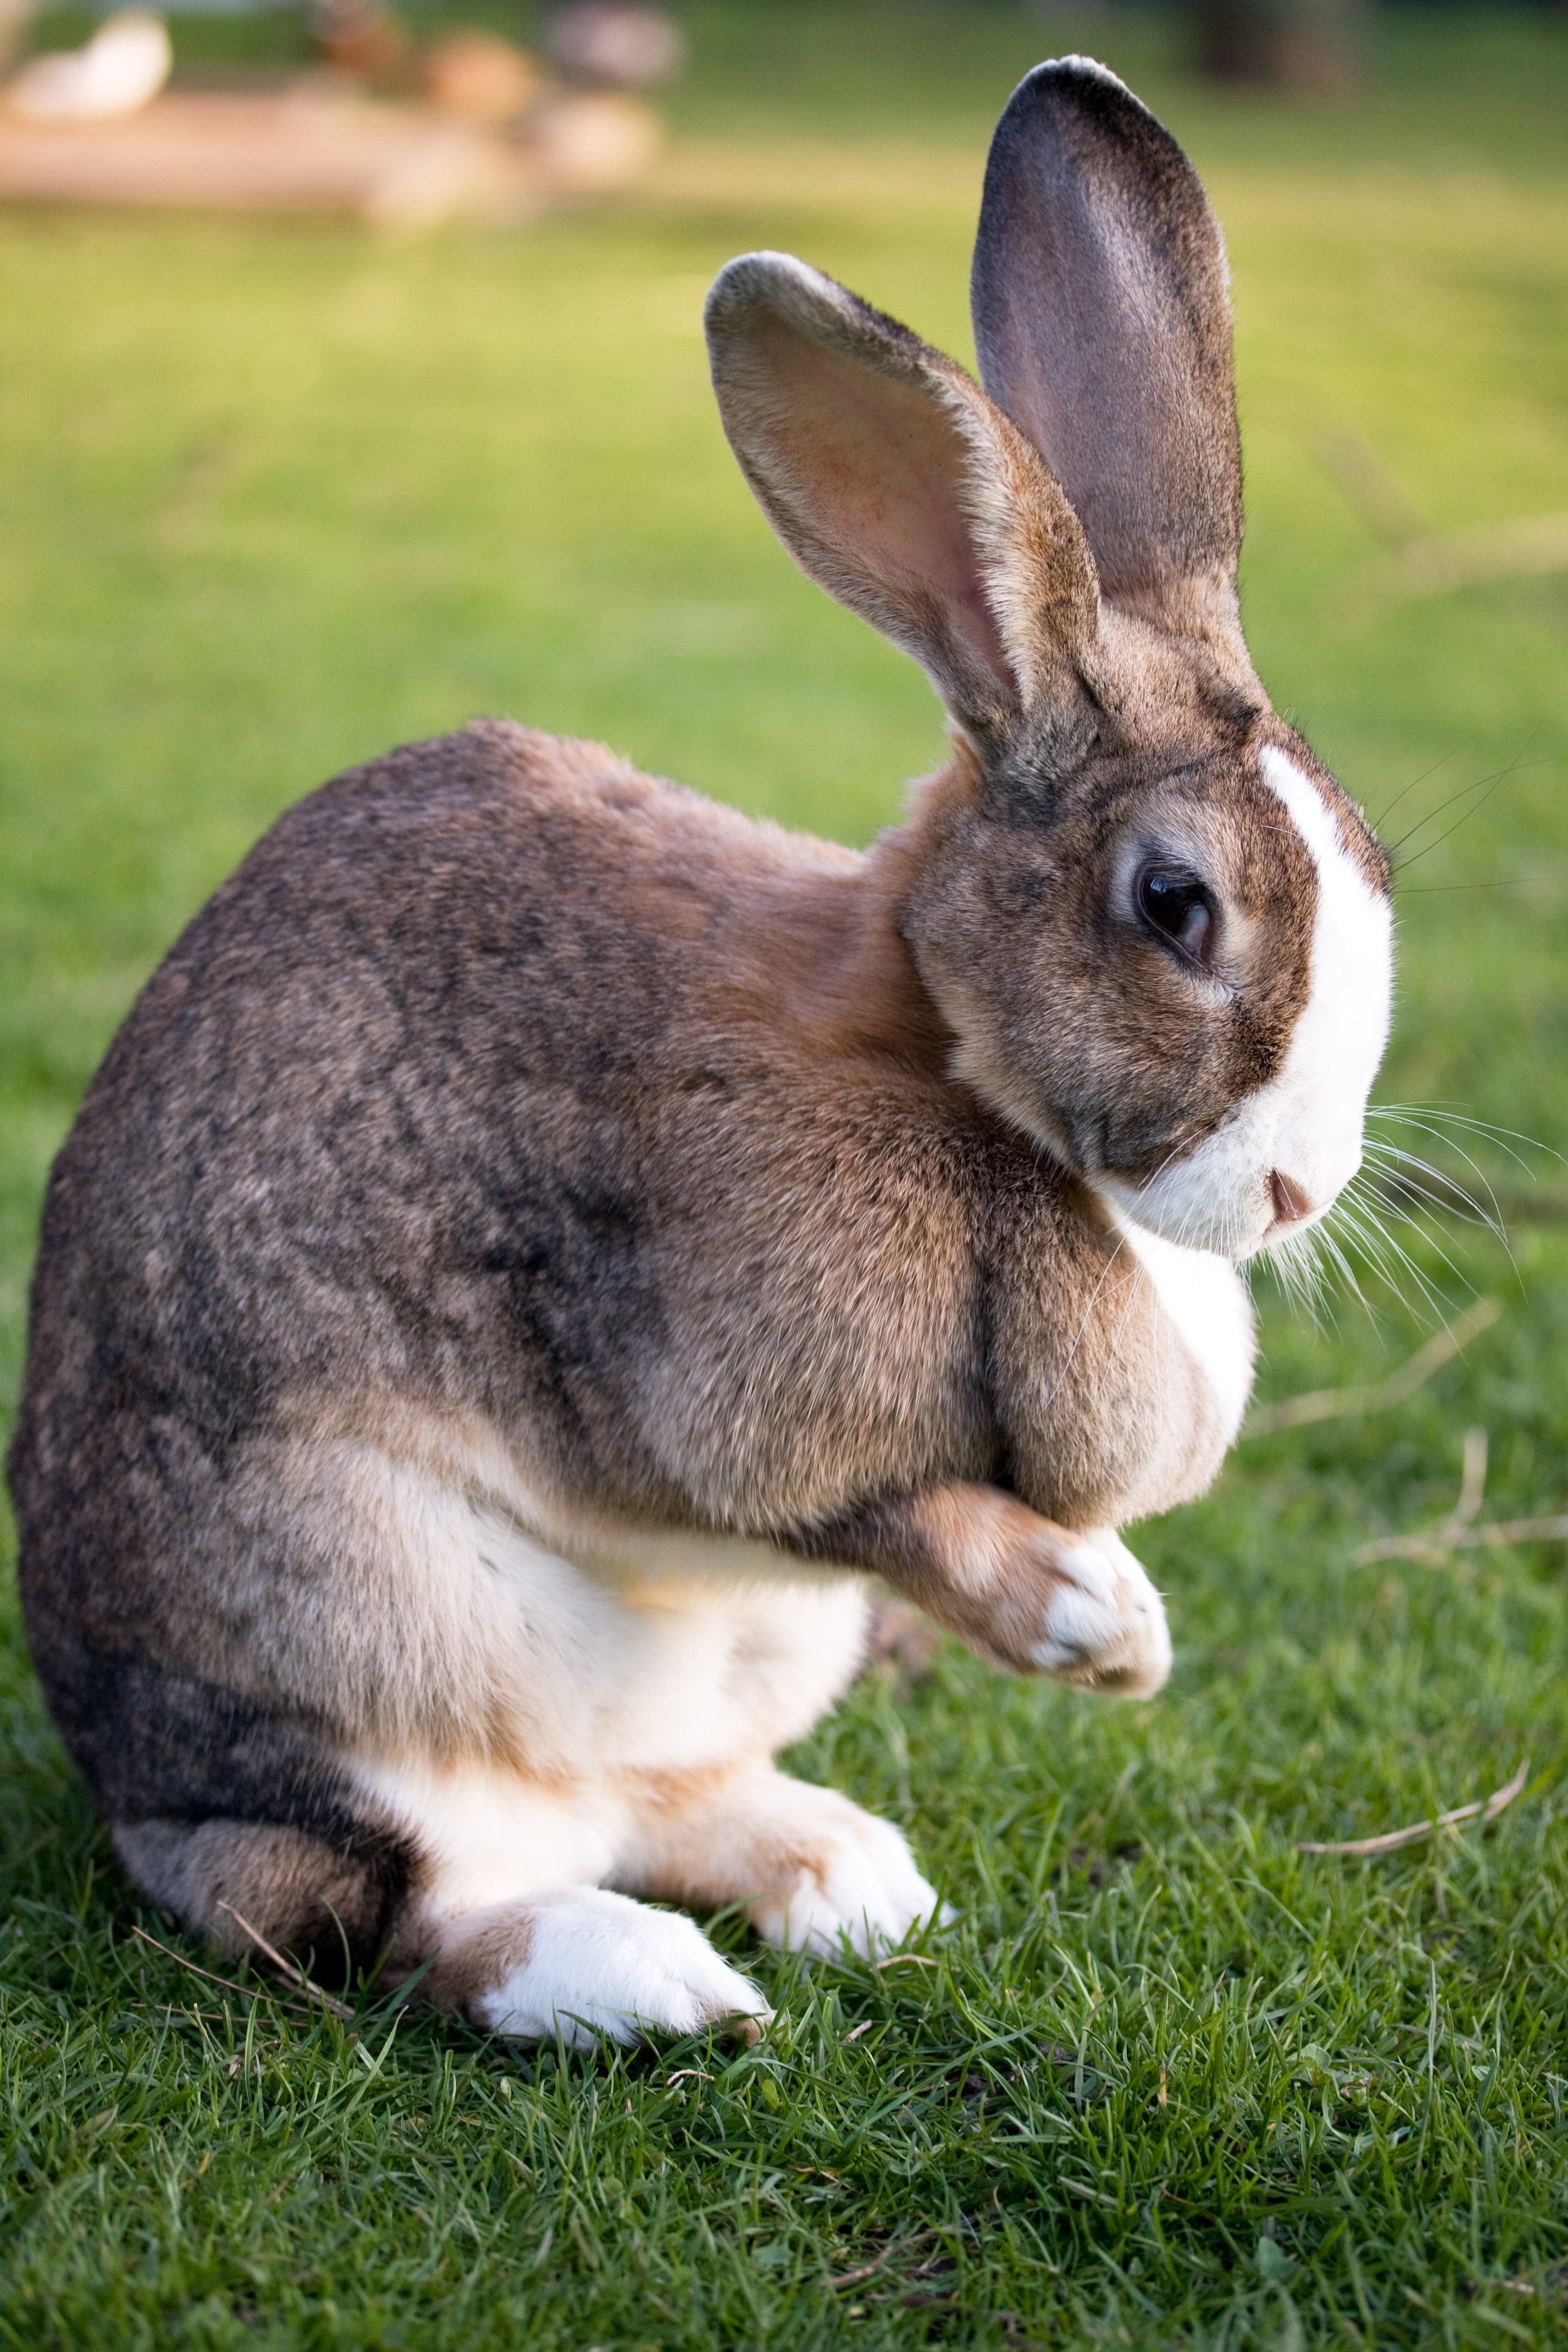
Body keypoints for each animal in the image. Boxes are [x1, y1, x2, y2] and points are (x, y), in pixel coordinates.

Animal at [6, 55, 1391, 2041]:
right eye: (1175, 904)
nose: (1297, 1189)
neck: (939, 1052)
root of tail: (126, 1776)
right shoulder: (700, 1383)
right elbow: (886, 1507)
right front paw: (1096, 1623)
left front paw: (1124, 1637)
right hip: (352, 1652)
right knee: (392, 1908)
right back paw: (655, 1987)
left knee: (653, 1804)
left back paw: (850, 1882)